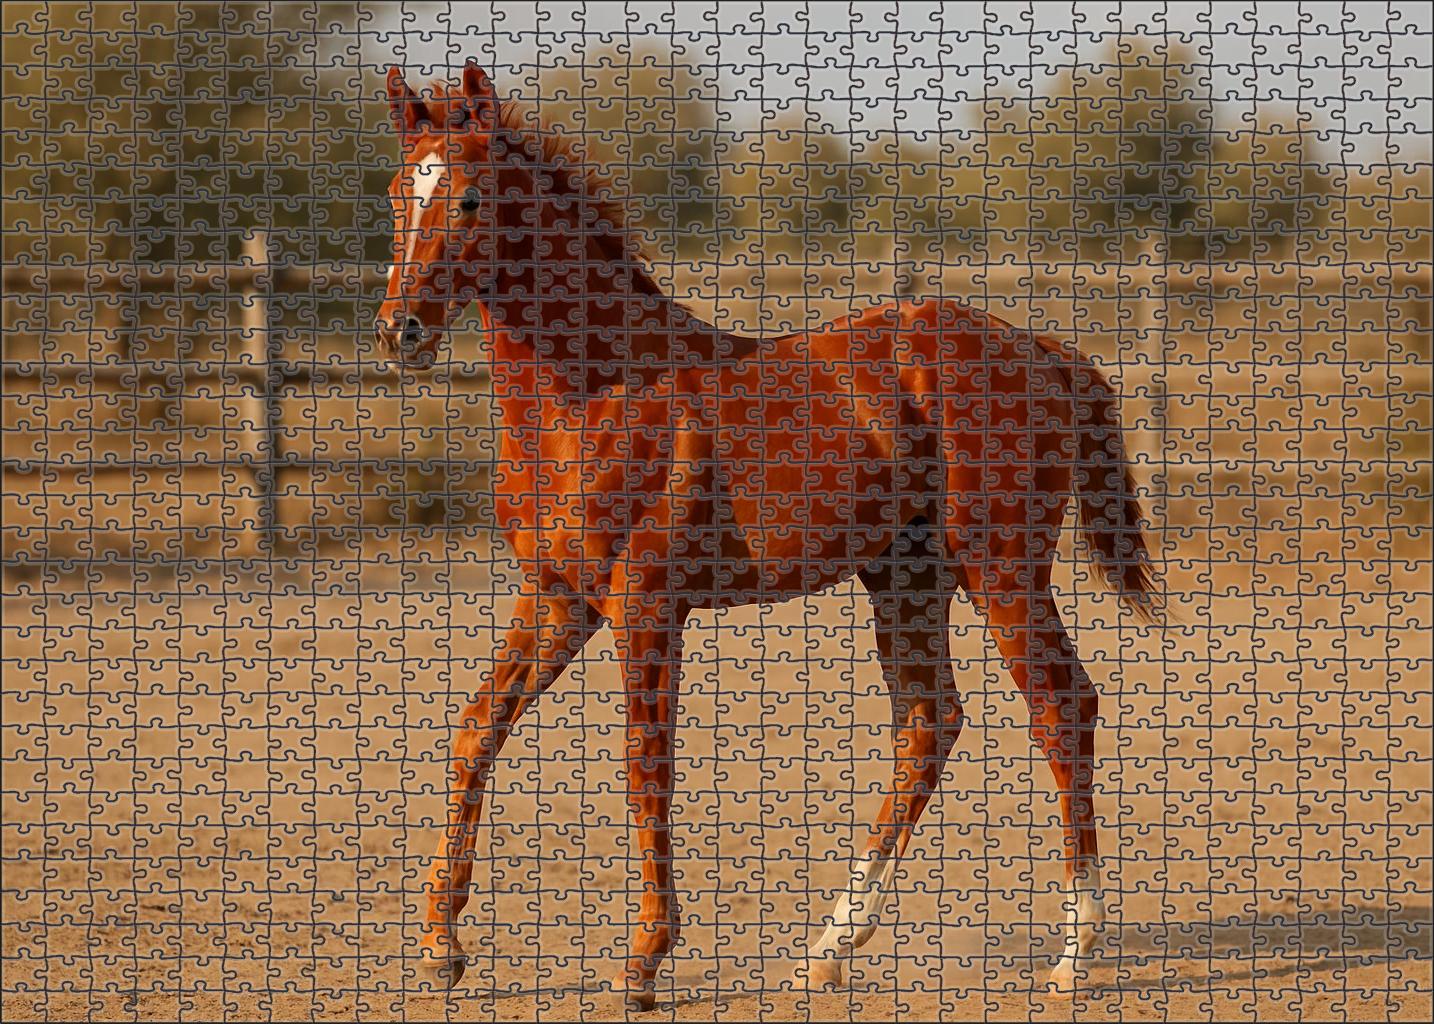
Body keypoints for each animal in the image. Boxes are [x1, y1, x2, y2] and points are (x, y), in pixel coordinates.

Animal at [374, 60, 1156, 1011]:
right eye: (396, 194)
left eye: (471, 199)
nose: (399, 331)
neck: (595, 395)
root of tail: (1047, 352)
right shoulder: (558, 599)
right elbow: (474, 731)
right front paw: (439, 947)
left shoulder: (646, 608)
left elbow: (644, 766)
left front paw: (643, 961)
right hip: (905, 580)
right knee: (929, 724)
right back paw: (830, 945)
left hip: (1002, 572)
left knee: (1061, 707)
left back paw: (1073, 954)